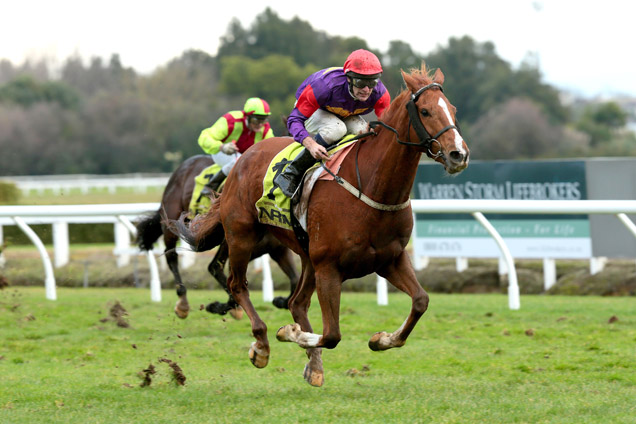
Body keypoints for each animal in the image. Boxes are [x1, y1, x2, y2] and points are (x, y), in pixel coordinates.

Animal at [135, 155, 300, 318]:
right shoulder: (234, 245)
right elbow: (221, 272)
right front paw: (219, 307)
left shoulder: (278, 250)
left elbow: (295, 280)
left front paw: (280, 301)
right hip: (172, 222)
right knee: (172, 256)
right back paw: (182, 302)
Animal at [174, 65, 468, 384]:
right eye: (425, 111)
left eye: (452, 109)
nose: (459, 154)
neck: (372, 188)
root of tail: (243, 157)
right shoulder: (329, 267)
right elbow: (332, 335)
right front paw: (288, 333)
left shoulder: (390, 258)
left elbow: (420, 301)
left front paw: (381, 339)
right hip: (242, 236)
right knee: (238, 285)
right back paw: (262, 344)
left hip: (305, 255)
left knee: (296, 302)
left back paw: (314, 365)